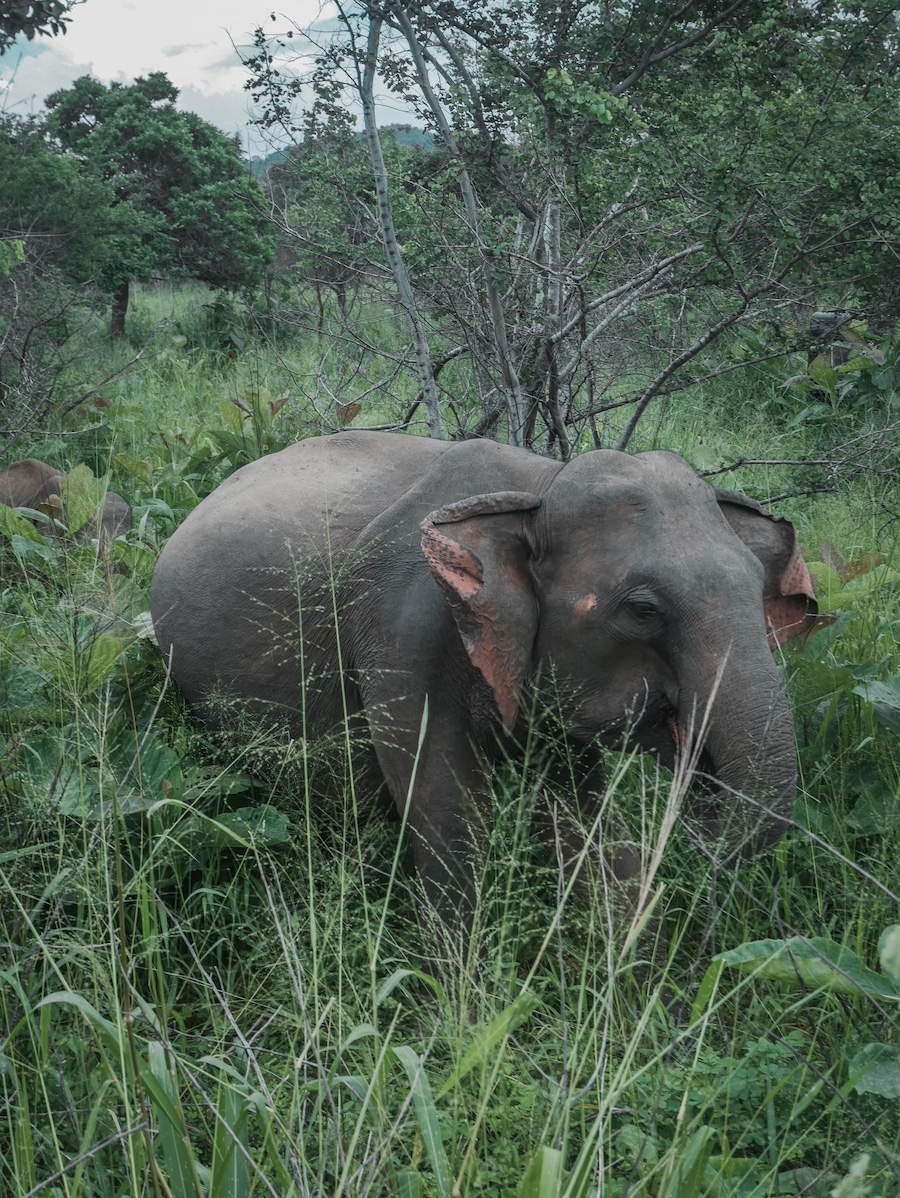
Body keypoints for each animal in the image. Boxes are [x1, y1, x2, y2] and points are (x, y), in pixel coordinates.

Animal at [149, 431, 814, 924]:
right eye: (643, 609)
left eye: (759, 587)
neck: (539, 486)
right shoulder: (401, 633)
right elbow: (448, 815)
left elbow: (583, 818)